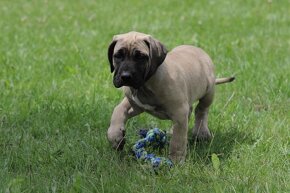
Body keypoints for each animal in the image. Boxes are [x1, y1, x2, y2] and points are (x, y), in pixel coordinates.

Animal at [106, 32, 233, 163]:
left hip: (208, 91)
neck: (145, 86)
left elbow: (178, 141)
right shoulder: (135, 104)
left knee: (201, 110)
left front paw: (176, 161)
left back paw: (201, 132)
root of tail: (200, 51)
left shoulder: (179, 112)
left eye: (140, 57)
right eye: (118, 55)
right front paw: (115, 136)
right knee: (189, 113)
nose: (125, 76)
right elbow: (118, 110)